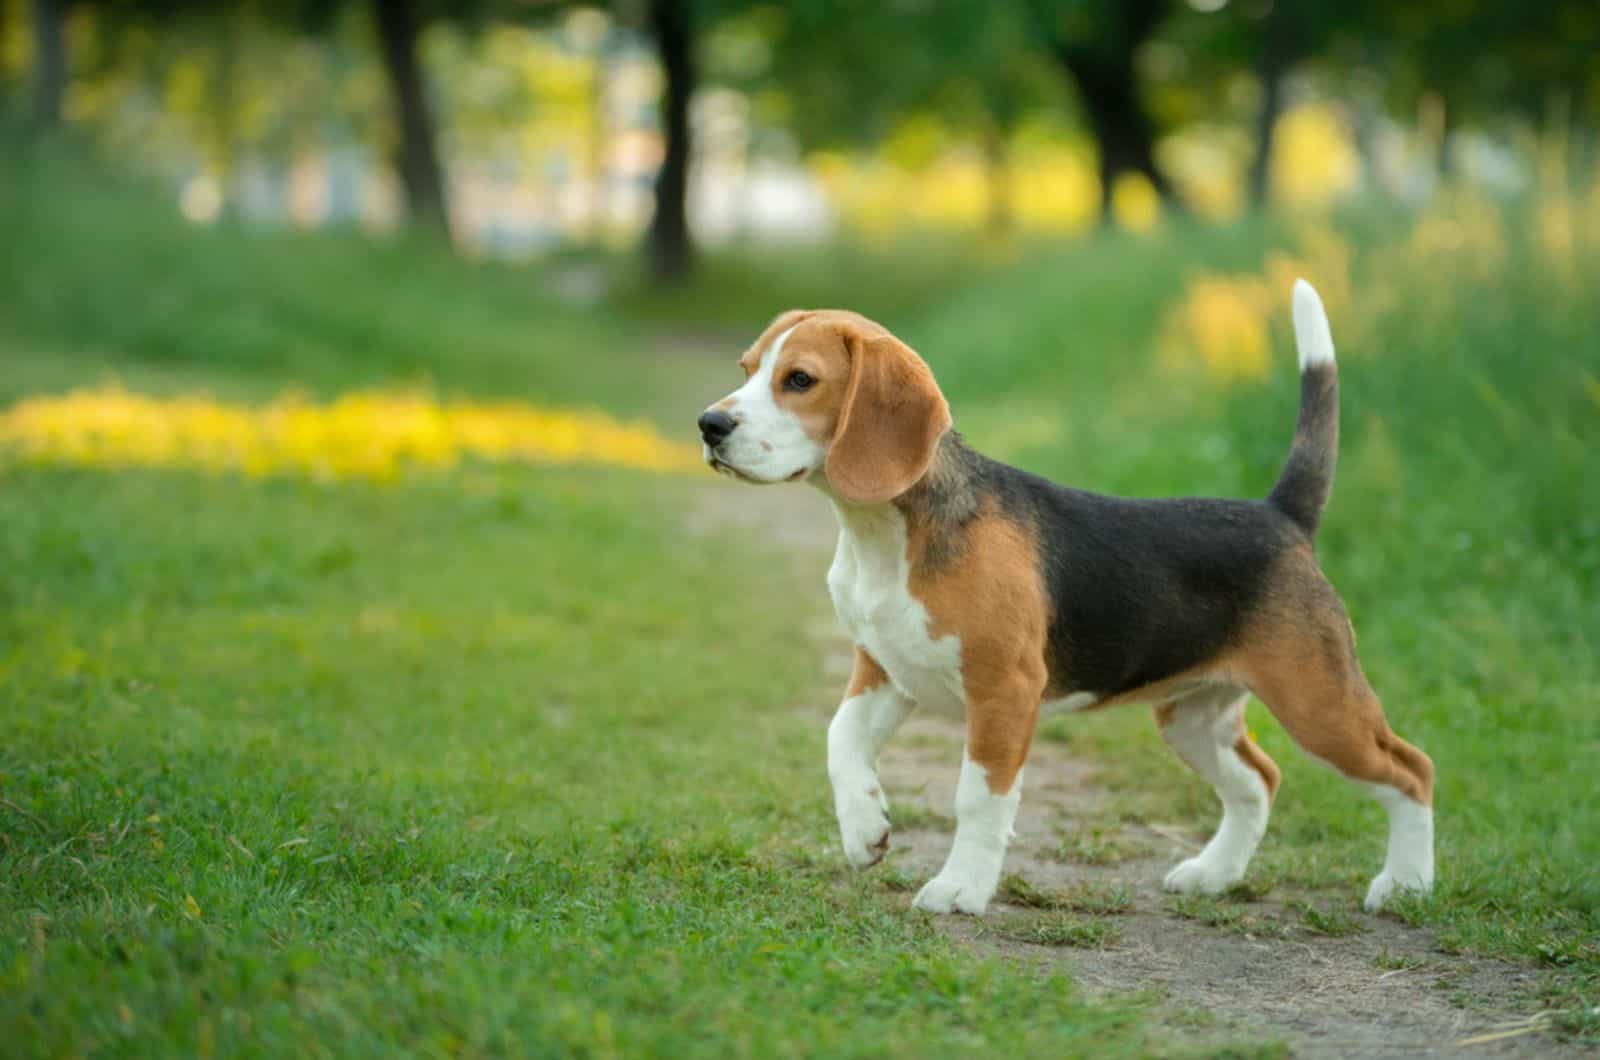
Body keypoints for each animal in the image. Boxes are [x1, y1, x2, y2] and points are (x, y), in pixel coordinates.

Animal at [700, 285, 1440, 922]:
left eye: (800, 380)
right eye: (747, 369)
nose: (709, 425)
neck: (883, 531)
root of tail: (1280, 515)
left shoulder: (1004, 689)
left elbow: (978, 798)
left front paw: (961, 888)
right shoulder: (884, 668)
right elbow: (840, 739)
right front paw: (866, 830)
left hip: (1319, 703)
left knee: (1412, 770)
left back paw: (1404, 884)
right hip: (1193, 716)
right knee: (1259, 780)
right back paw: (1214, 874)